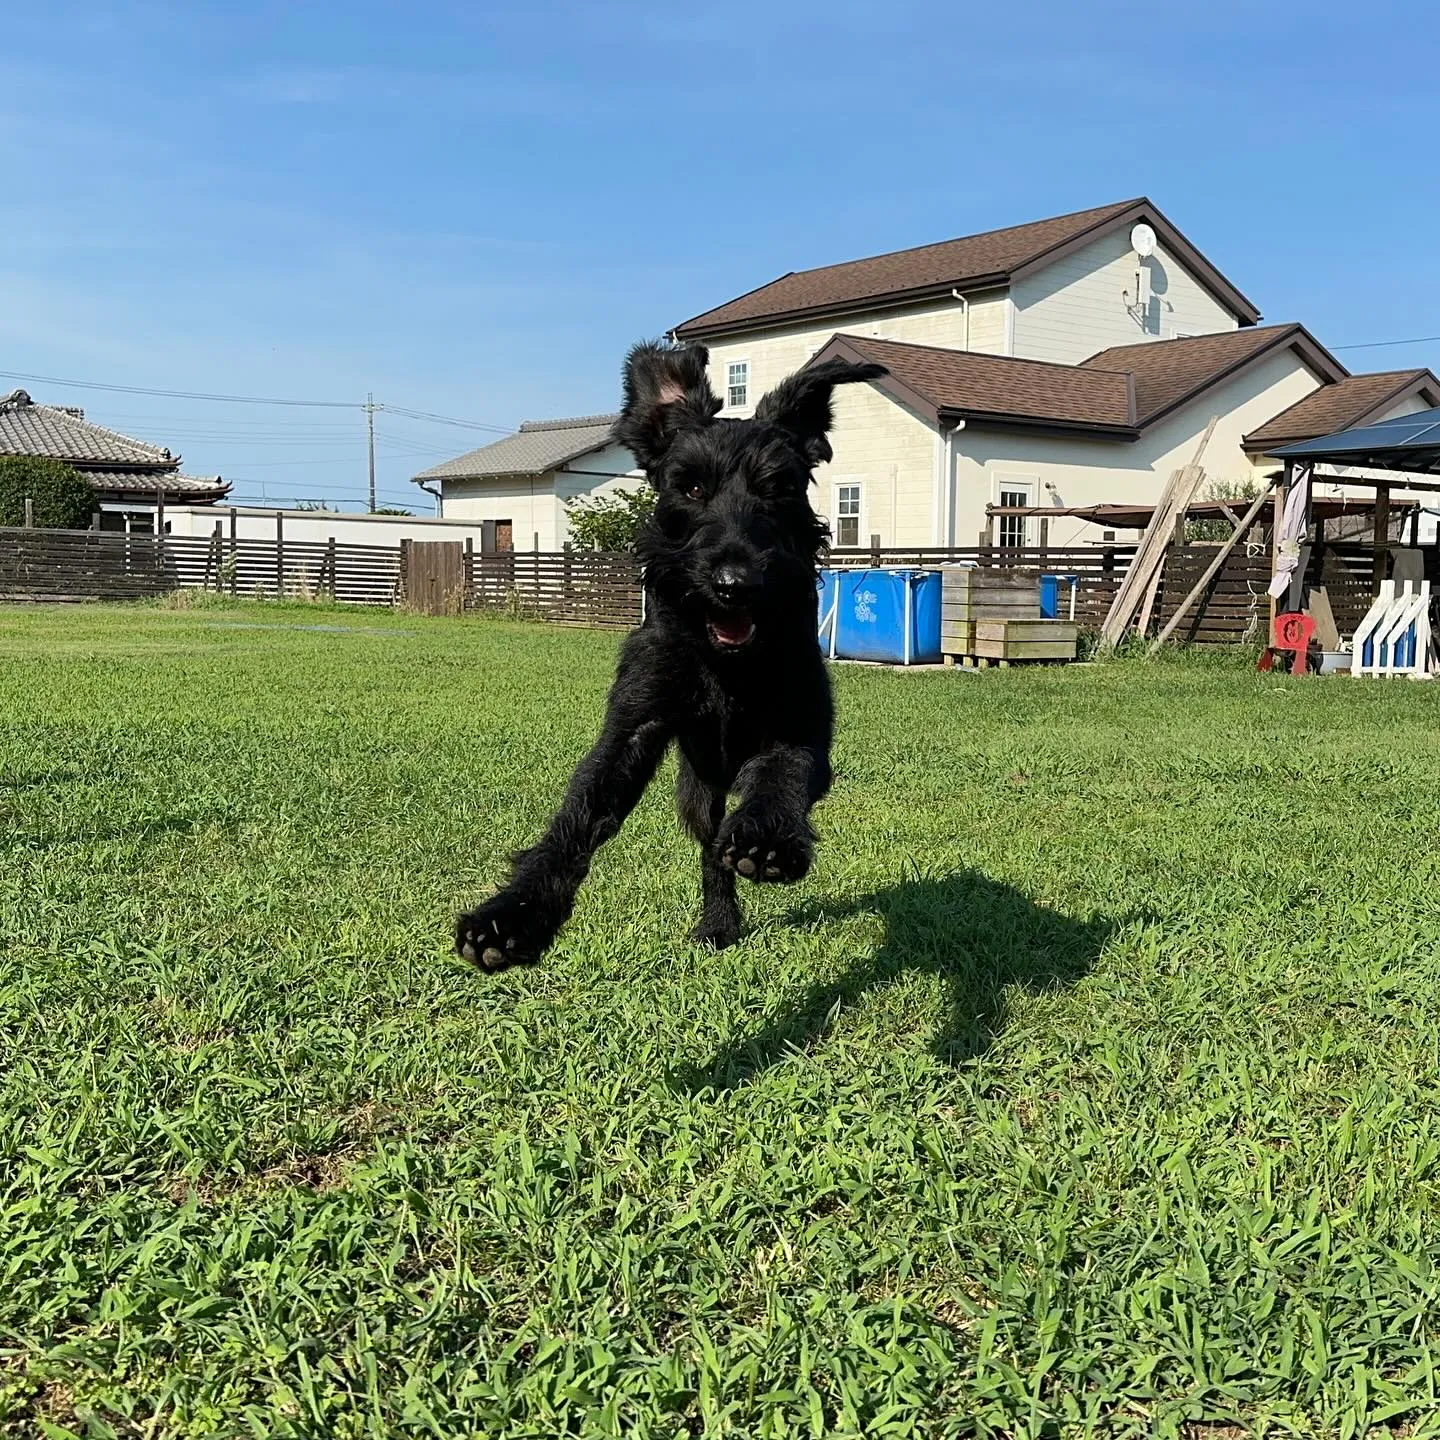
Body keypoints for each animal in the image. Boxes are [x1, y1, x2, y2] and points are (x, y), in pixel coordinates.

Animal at [457, 339, 887, 967]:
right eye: (691, 487)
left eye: (779, 487)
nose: (735, 583)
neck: (724, 662)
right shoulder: (634, 726)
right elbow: (579, 816)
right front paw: (513, 915)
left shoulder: (801, 723)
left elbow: (782, 770)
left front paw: (767, 835)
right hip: (698, 790)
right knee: (709, 847)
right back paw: (719, 921)